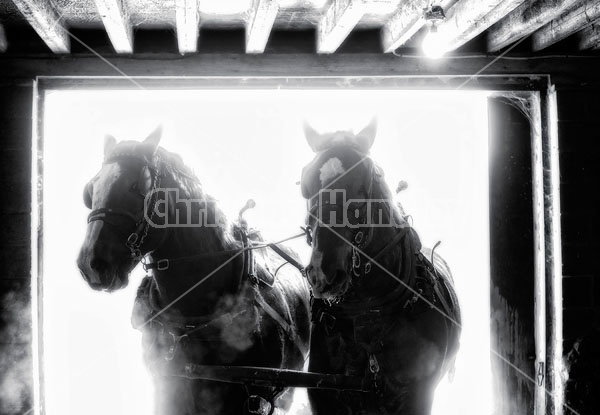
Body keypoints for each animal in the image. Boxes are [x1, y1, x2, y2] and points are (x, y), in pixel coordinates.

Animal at [302, 121, 462, 415]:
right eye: (306, 183)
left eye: (363, 180)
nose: (322, 273)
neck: (367, 311)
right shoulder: (323, 393)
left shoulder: (418, 394)